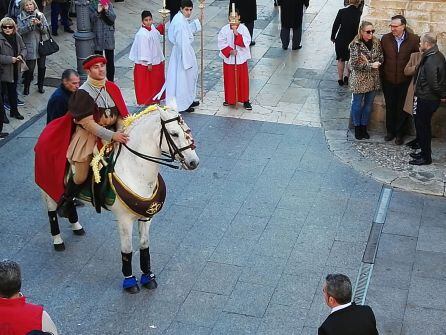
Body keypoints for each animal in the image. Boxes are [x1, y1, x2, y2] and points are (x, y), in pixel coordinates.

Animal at [39, 106, 199, 292]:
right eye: (174, 134)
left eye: (187, 130)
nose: (194, 162)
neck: (134, 171)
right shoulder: (124, 220)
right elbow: (127, 249)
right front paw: (130, 281)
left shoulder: (146, 216)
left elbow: (144, 245)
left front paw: (147, 277)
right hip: (48, 189)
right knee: (52, 212)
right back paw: (58, 240)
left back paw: (76, 225)